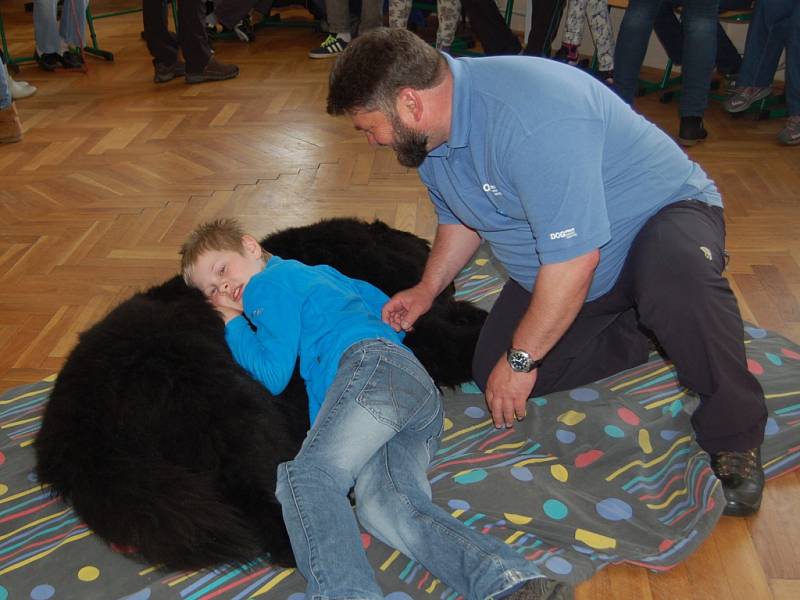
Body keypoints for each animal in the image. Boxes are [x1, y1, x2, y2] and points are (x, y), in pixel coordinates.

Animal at [34, 219, 488, 572]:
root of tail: (72, 420)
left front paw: (473, 311)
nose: (448, 282)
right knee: (263, 492)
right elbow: (461, 344)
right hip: (232, 407)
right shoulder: (416, 334)